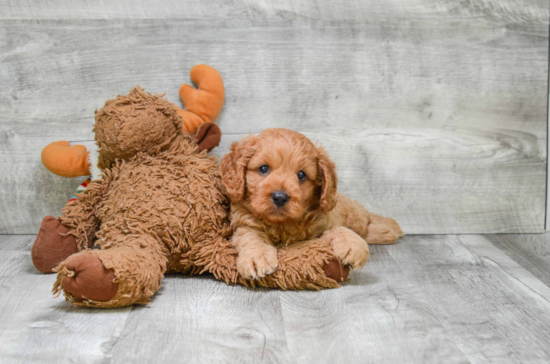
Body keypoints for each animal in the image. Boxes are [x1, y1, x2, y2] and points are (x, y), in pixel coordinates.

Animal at [221, 129, 406, 280]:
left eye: (301, 175)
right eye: (263, 168)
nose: (280, 197)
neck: (282, 224)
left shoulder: (323, 223)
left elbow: (337, 228)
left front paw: (352, 244)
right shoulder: (243, 224)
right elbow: (251, 237)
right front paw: (257, 257)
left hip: (352, 214)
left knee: (365, 219)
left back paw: (390, 228)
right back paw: (388, 232)